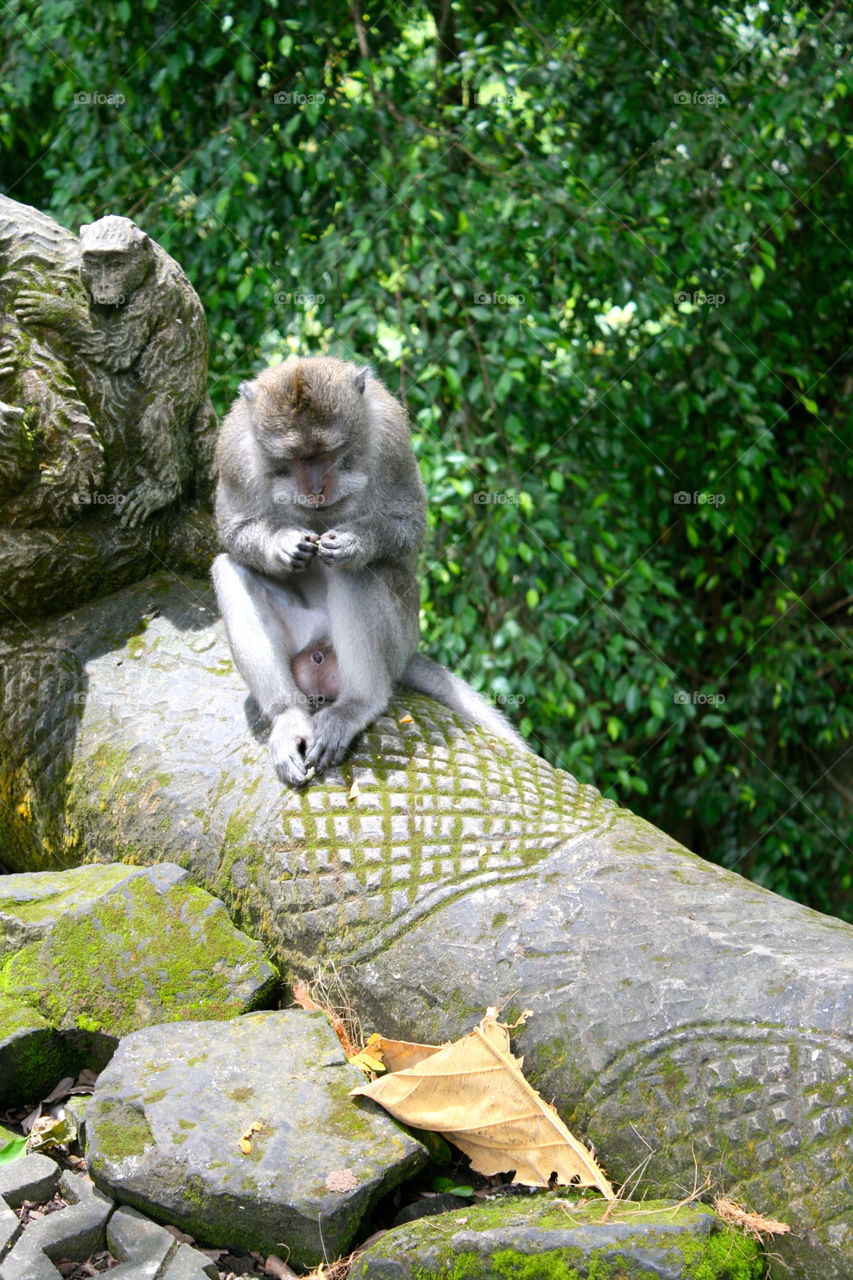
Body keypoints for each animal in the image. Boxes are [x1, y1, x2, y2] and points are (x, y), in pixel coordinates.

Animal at [212, 355, 530, 785]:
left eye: (327, 453)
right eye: (296, 459)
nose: (316, 490)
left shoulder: (390, 434)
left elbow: (409, 523)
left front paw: (354, 542)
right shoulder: (232, 450)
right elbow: (233, 528)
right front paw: (281, 544)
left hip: (400, 637)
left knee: (355, 574)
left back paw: (357, 705)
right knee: (231, 569)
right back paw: (288, 716)